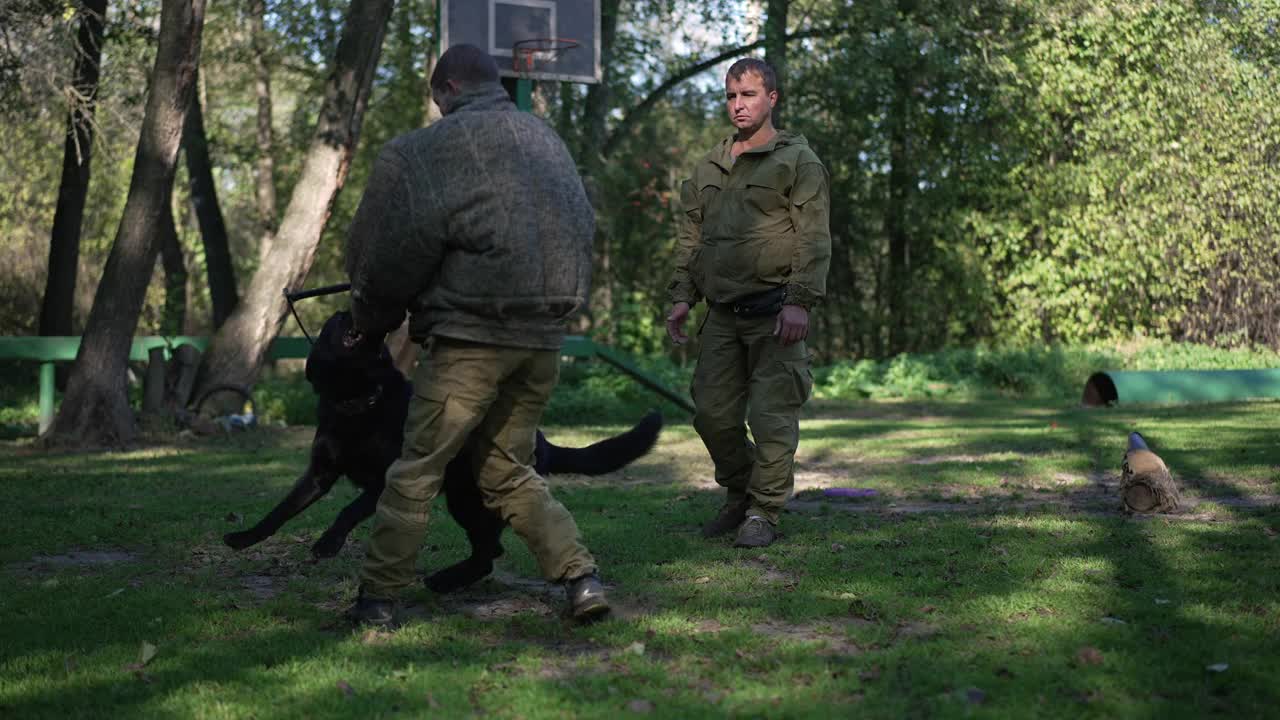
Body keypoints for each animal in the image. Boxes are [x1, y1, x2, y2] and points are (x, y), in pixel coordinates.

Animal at [224, 311, 660, 591]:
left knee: (489, 551)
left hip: (466, 500)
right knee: (489, 551)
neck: (358, 399)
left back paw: (445, 581)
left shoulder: (387, 479)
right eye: (336, 320)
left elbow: (347, 511)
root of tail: (541, 439)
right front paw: (245, 537)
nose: (348, 307)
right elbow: (281, 511)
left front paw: (327, 543)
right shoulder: (319, 474)